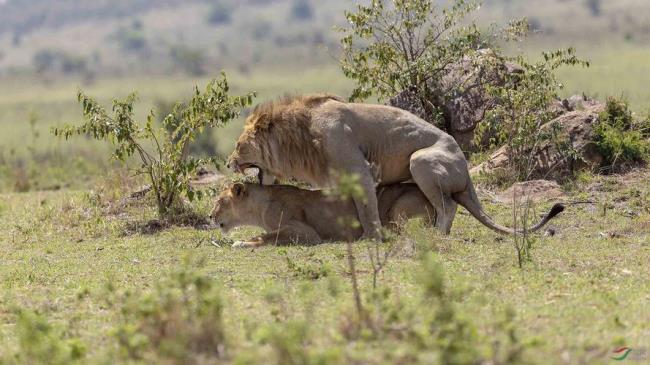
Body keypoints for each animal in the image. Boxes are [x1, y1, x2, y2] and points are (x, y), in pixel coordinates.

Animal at [210, 182, 432, 247]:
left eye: (219, 201)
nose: (210, 216)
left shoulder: (307, 233)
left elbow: (267, 236)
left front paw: (242, 243)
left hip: (397, 209)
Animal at [228, 94, 560, 239]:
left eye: (239, 144)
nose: (229, 162)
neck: (301, 137)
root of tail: (466, 171)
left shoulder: (360, 170)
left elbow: (367, 210)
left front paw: (372, 237)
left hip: (421, 160)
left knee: (448, 206)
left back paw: (437, 234)